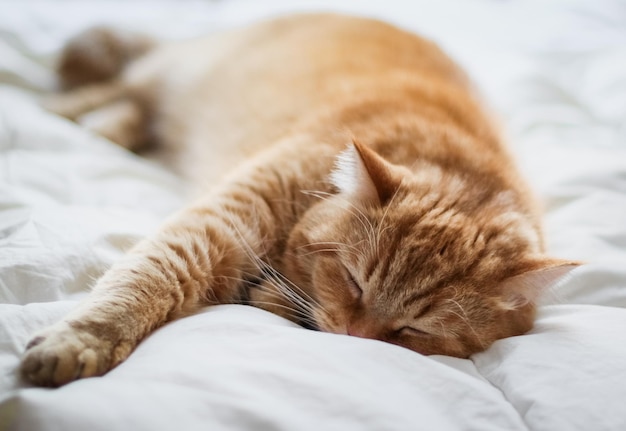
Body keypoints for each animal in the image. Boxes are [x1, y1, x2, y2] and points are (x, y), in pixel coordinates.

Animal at [19, 14, 576, 388]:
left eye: (415, 329)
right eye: (352, 280)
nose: (355, 335)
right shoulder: (220, 224)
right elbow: (149, 275)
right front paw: (82, 339)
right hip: (175, 72)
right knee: (128, 86)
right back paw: (84, 113)